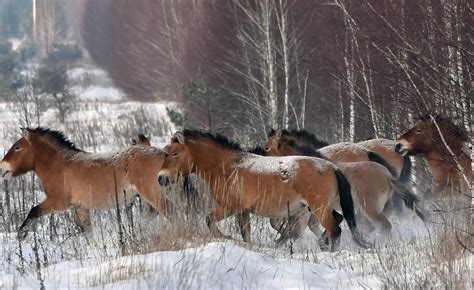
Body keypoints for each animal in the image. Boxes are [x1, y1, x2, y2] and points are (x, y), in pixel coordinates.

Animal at [0, 128, 171, 241]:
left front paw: (21, 234)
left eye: (17, 147)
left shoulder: (57, 202)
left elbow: (33, 211)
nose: (2, 168)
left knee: (169, 213)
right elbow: (88, 233)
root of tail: (164, 155)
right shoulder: (80, 208)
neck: (59, 165)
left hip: (151, 193)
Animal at [157, 130, 368, 251]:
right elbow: (245, 233)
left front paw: (226, 237)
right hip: (319, 208)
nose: (161, 178)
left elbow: (209, 220)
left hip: (320, 209)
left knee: (335, 230)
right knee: (337, 221)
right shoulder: (242, 211)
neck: (227, 167)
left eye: (174, 153)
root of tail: (332, 167)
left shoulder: (229, 207)